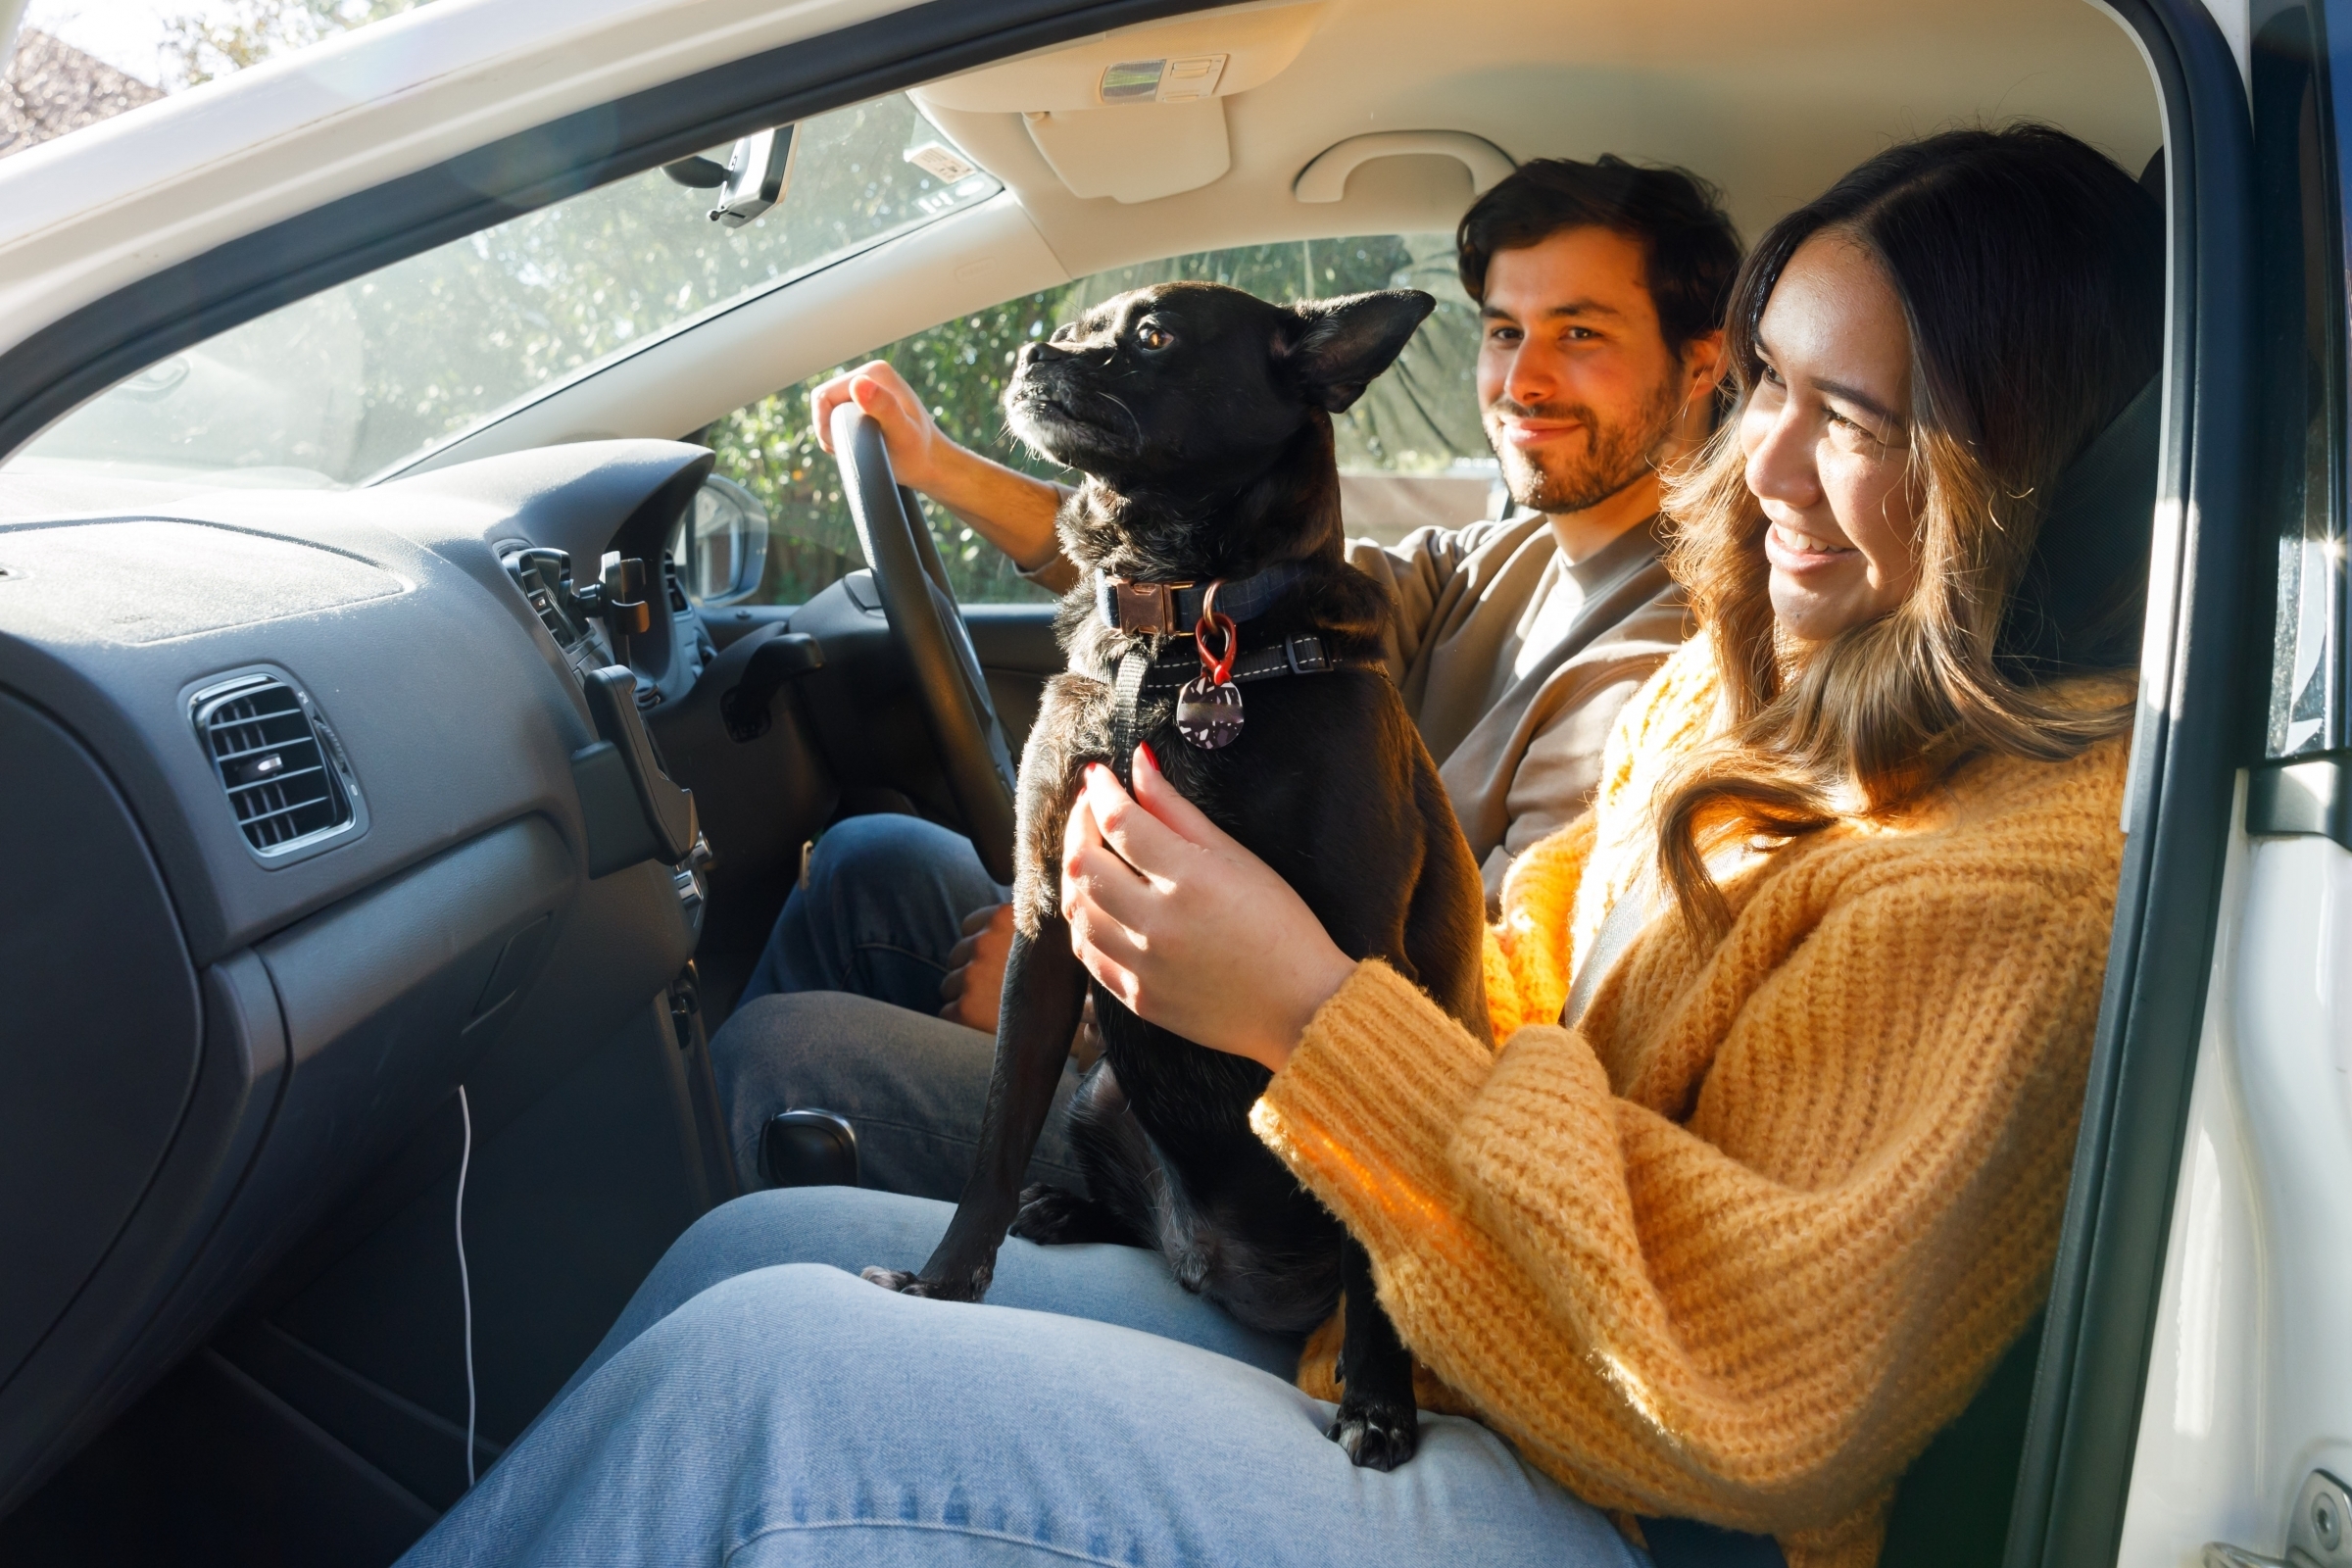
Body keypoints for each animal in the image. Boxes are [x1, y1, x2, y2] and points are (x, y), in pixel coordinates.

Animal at [865, 281, 1486, 1476]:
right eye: (1075, 326)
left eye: (1153, 339)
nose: (1035, 350)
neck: (1175, 636)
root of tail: (1217, 1265)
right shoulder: (1049, 922)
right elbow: (996, 1135)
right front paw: (945, 1280)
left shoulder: (1356, 962)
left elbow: (1370, 1224)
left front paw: (1377, 1403)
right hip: (1105, 1090)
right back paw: (1070, 1212)